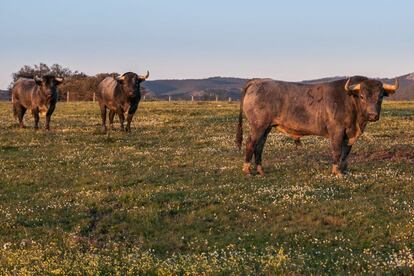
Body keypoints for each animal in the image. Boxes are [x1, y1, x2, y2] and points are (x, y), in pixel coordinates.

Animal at [238, 76, 400, 177]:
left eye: (380, 96)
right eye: (362, 96)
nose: (373, 115)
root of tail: (258, 81)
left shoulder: (349, 135)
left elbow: (345, 153)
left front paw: (344, 170)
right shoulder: (337, 130)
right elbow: (337, 151)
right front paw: (336, 172)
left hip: (266, 128)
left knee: (259, 146)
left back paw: (260, 171)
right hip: (258, 126)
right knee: (250, 143)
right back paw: (247, 170)